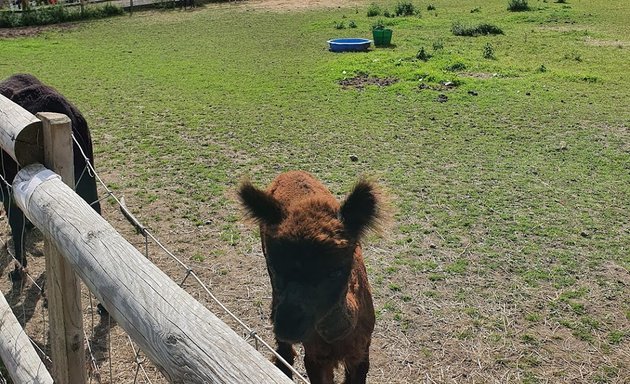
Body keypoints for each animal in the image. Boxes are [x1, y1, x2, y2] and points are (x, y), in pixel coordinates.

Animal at [237, 171, 386, 384]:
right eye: (275, 268)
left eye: (336, 271)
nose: (288, 324)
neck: (336, 339)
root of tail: (290, 173)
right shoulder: (315, 356)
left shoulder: (361, 352)